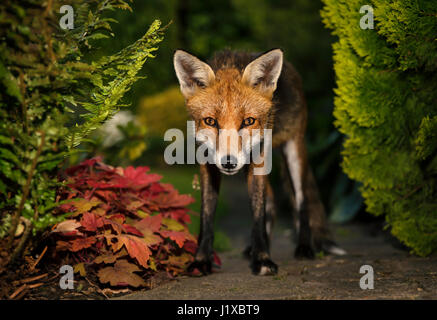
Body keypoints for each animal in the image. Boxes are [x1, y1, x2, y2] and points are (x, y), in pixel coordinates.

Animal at [173, 48, 344, 276]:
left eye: (248, 121)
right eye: (210, 121)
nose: (229, 163)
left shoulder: (259, 161)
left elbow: (258, 215)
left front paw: (262, 259)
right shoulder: (208, 164)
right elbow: (207, 216)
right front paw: (201, 260)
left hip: (293, 152)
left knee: (301, 202)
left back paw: (304, 247)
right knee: (272, 201)